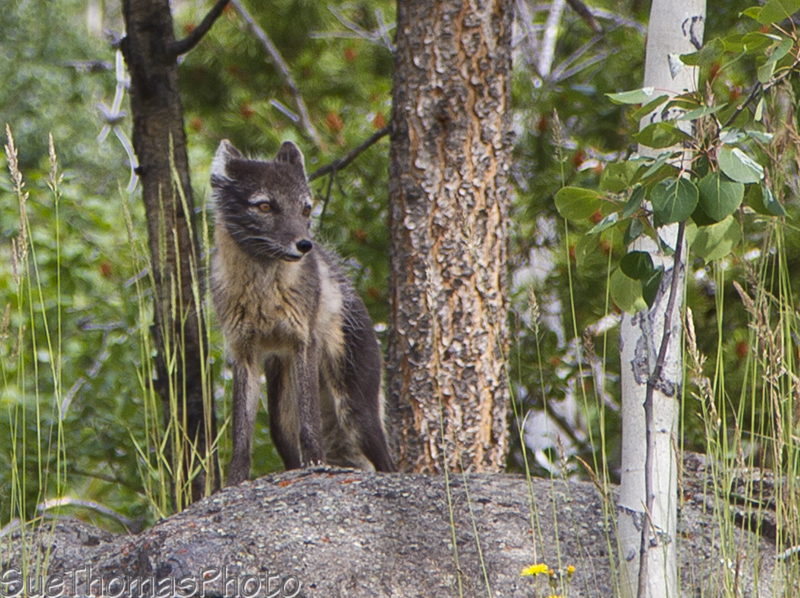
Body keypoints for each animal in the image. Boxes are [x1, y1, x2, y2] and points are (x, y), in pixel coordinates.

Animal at [210, 139, 397, 485]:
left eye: (306, 209)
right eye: (265, 206)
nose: (305, 245)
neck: (263, 296)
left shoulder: (304, 342)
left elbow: (310, 425)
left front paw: (316, 465)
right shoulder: (243, 353)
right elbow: (241, 436)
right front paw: (235, 482)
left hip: (356, 412)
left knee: (388, 464)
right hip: (281, 420)